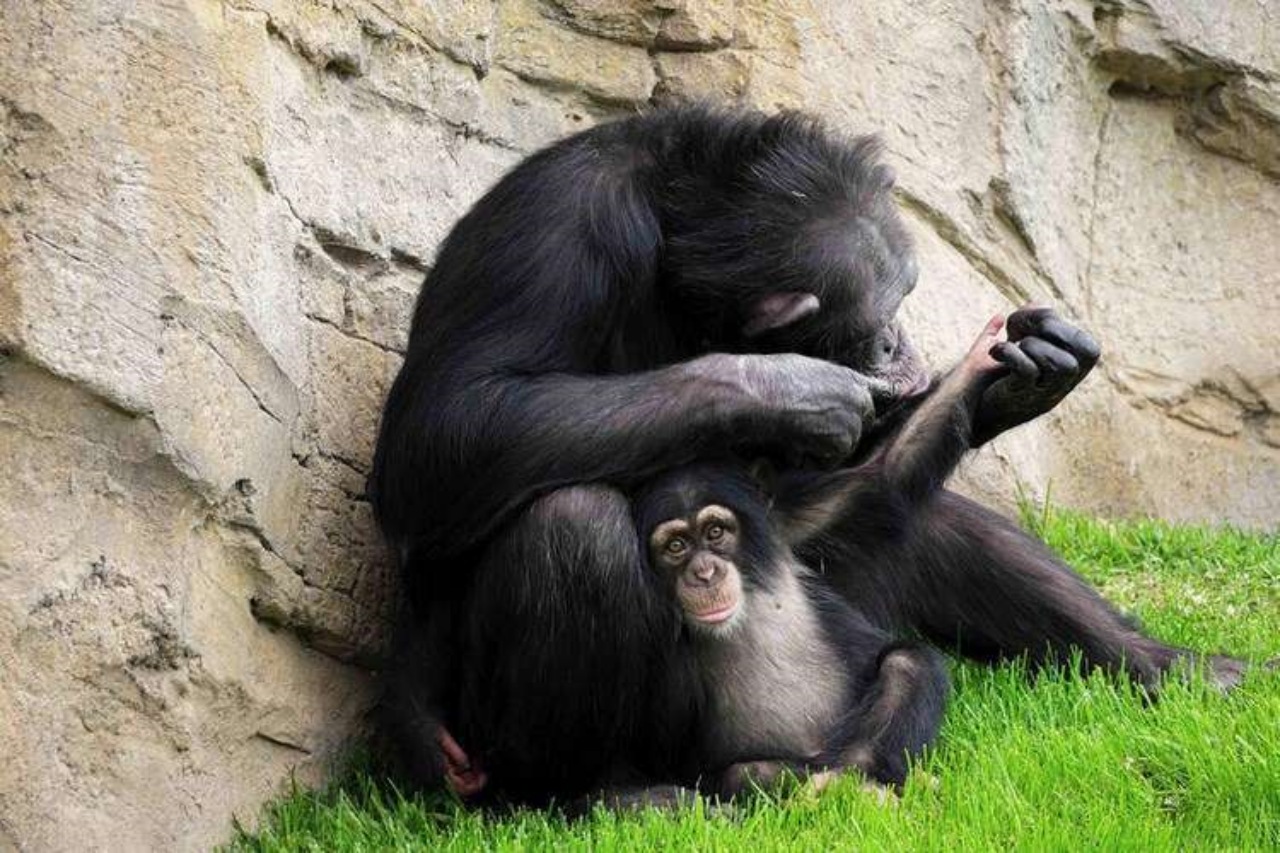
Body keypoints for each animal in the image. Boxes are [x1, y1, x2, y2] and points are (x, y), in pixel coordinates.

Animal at [371, 103, 1249, 799]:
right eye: (882, 310)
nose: (899, 337)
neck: (676, 255)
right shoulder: (555, 225)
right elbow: (446, 428)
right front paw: (788, 388)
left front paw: (1015, 375)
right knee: (570, 524)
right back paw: (593, 794)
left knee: (914, 513)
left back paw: (1175, 667)